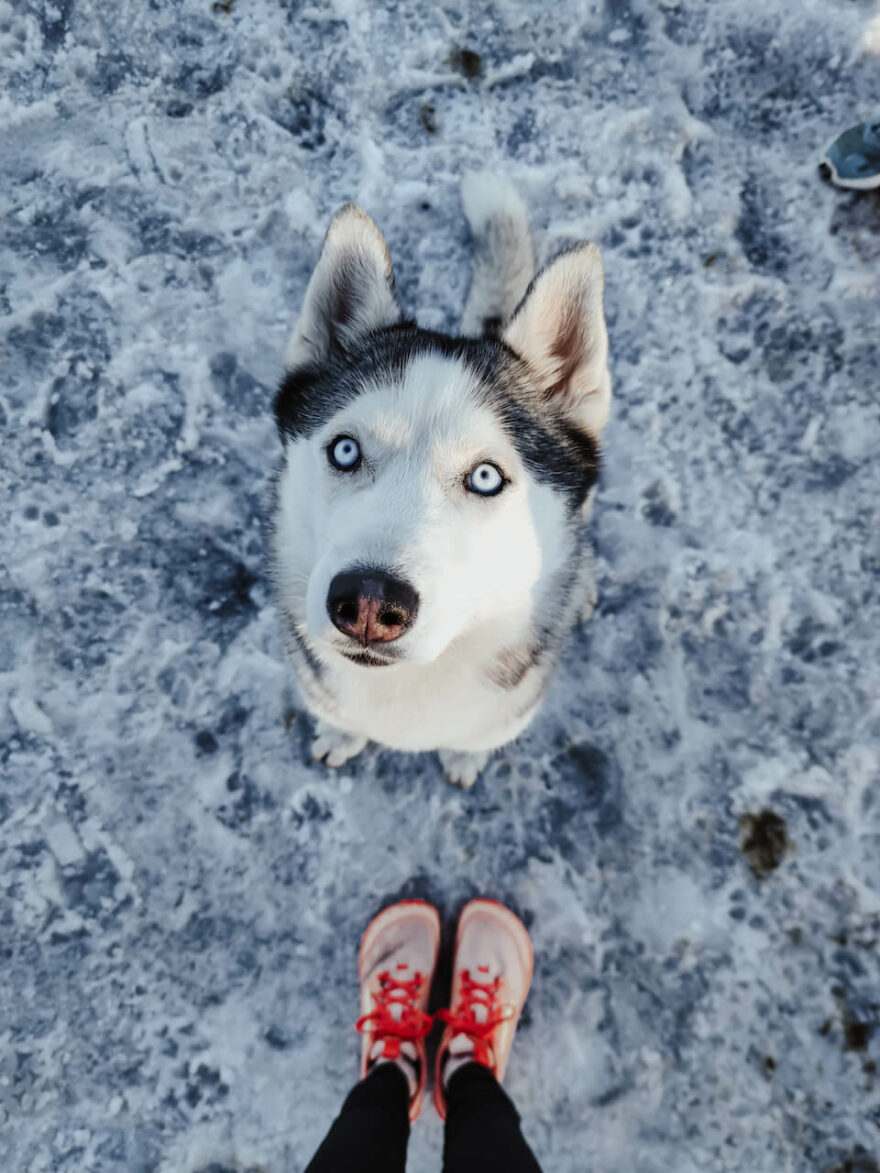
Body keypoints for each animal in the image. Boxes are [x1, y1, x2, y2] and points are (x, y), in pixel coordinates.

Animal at [268, 175, 611, 787]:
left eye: (485, 477)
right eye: (346, 449)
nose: (369, 604)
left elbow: (474, 740)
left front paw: (463, 757)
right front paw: (341, 734)